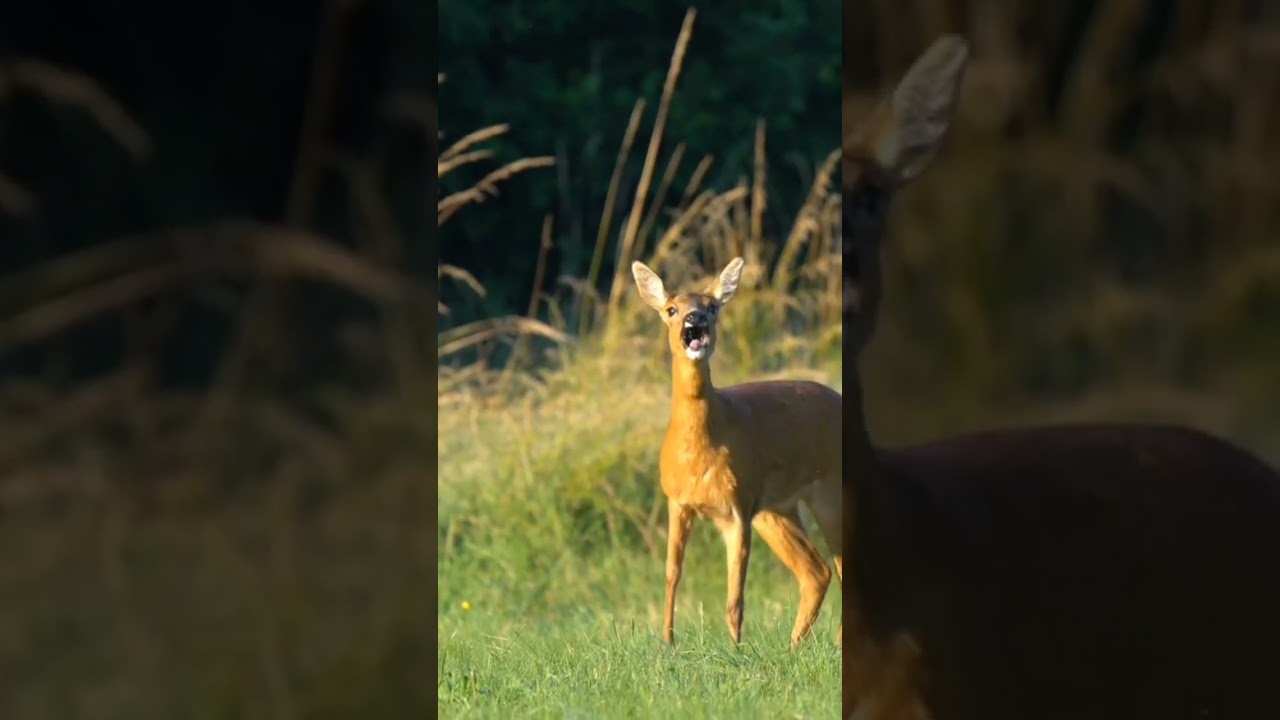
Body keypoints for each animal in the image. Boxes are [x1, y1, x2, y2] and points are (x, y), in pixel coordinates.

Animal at [629, 257, 843, 650]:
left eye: (713, 306)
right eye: (671, 309)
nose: (694, 319)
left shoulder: (737, 506)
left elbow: (735, 597)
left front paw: (735, 649)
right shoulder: (678, 501)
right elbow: (671, 574)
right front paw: (667, 642)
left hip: (827, 491)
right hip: (777, 508)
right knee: (816, 570)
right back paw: (795, 646)